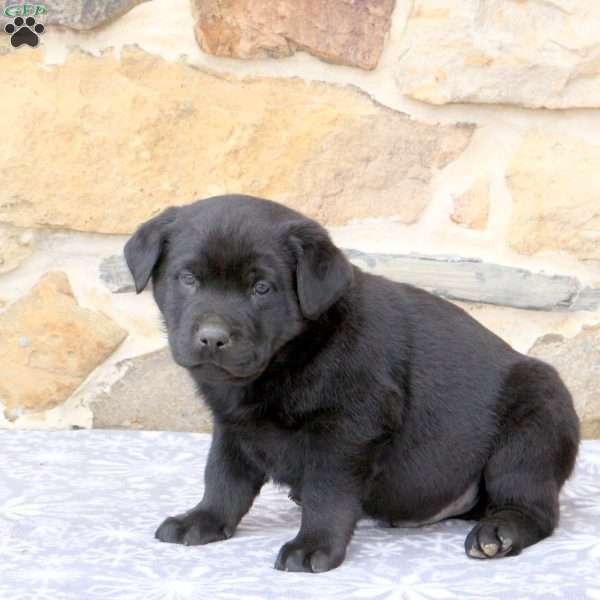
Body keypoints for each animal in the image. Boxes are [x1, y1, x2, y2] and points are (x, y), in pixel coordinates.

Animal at [124, 195, 580, 576]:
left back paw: (498, 534)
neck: (290, 357)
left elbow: (328, 493)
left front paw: (314, 545)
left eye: (261, 287)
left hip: (535, 421)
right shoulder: (233, 427)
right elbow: (222, 477)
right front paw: (202, 519)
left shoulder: (346, 431)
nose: (213, 338)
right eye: (188, 278)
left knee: (534, 506)